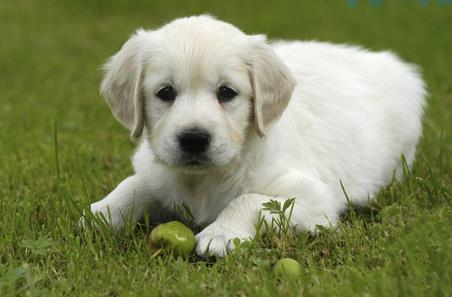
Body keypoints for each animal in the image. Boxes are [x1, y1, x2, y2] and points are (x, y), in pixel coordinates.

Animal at [90, 15, 426, 256]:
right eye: (165, 93)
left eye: (227, 92)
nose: (194, 139)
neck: (203, 180)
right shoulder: (156, 172)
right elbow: (134, 184)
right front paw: (100, 213)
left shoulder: (314, 197)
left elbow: (250, 199)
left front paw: (221, 234)